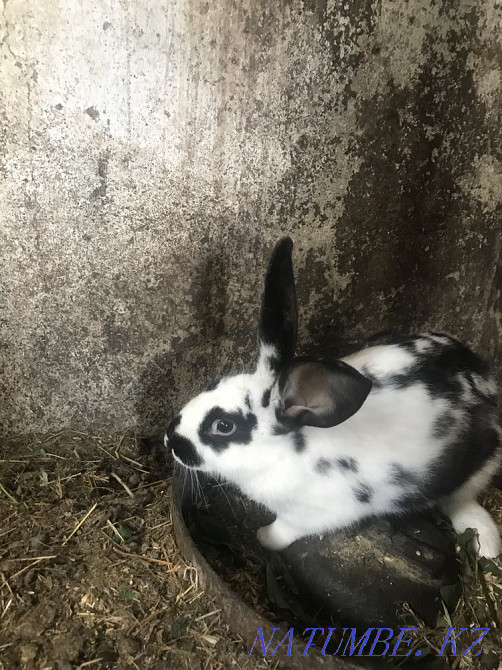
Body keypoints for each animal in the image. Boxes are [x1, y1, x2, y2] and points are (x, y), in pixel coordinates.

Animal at [165, 237, 501, 558]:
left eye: (223, 426)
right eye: (215, 381)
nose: (170, 438)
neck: (286, 451)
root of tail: (483, 376)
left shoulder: (312, 515)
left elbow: (283, 530)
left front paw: (263, 538)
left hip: (477, 467)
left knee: (461, 500)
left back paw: (486, 543)